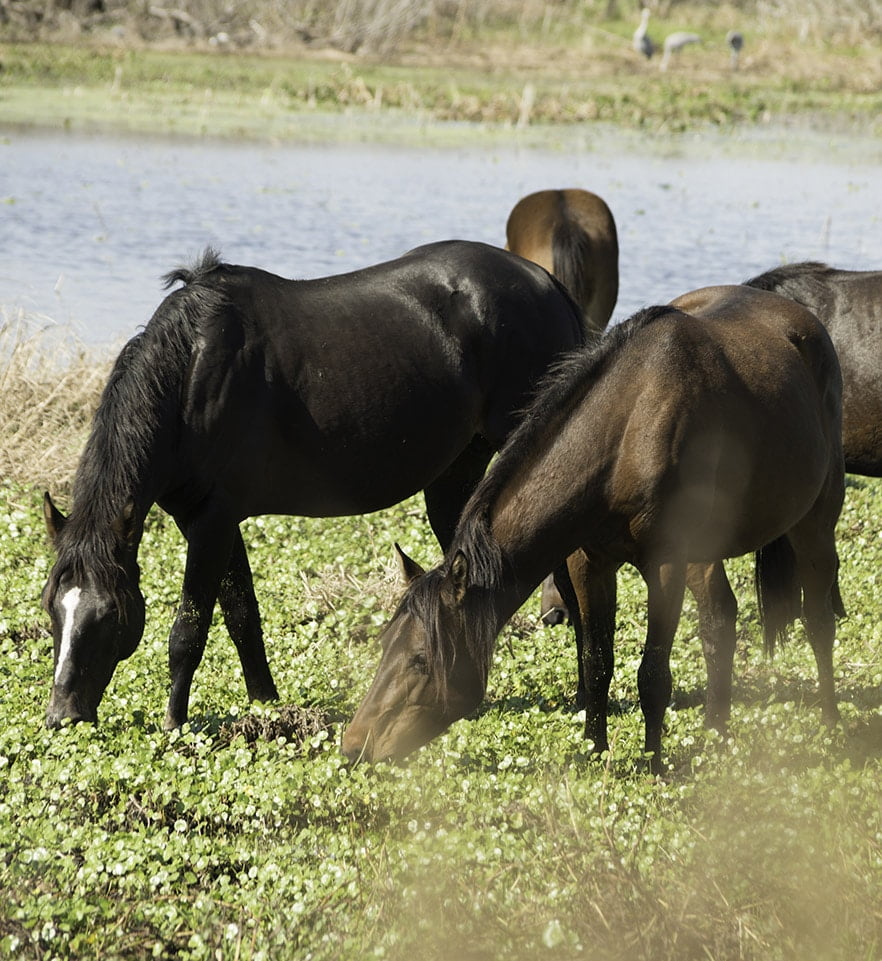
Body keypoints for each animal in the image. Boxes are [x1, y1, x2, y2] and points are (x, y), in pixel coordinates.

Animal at [44, 238, 588, 728]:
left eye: (109, 615)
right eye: (54, 609)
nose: (62, 717)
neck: (191, 376)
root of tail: (548, 285)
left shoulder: (210, 523)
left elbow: (189, 629)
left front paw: (174, 722)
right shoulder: (211, 520)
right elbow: (241, 615)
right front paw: (265, 703)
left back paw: (585, 696)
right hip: (456, 474)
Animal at [340, 284, 844, 772]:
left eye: (420, 660)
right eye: (384, 646)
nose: (353, 746)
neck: (628, 432)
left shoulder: (665, 566)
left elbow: (652, 673)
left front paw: (654, 764)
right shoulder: (589, 563)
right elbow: (597, 663)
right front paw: (594, 751)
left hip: (815, 521)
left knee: (818, 617)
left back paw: (830, 721)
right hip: (706, 550)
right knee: (720, 618)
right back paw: (717, 731)